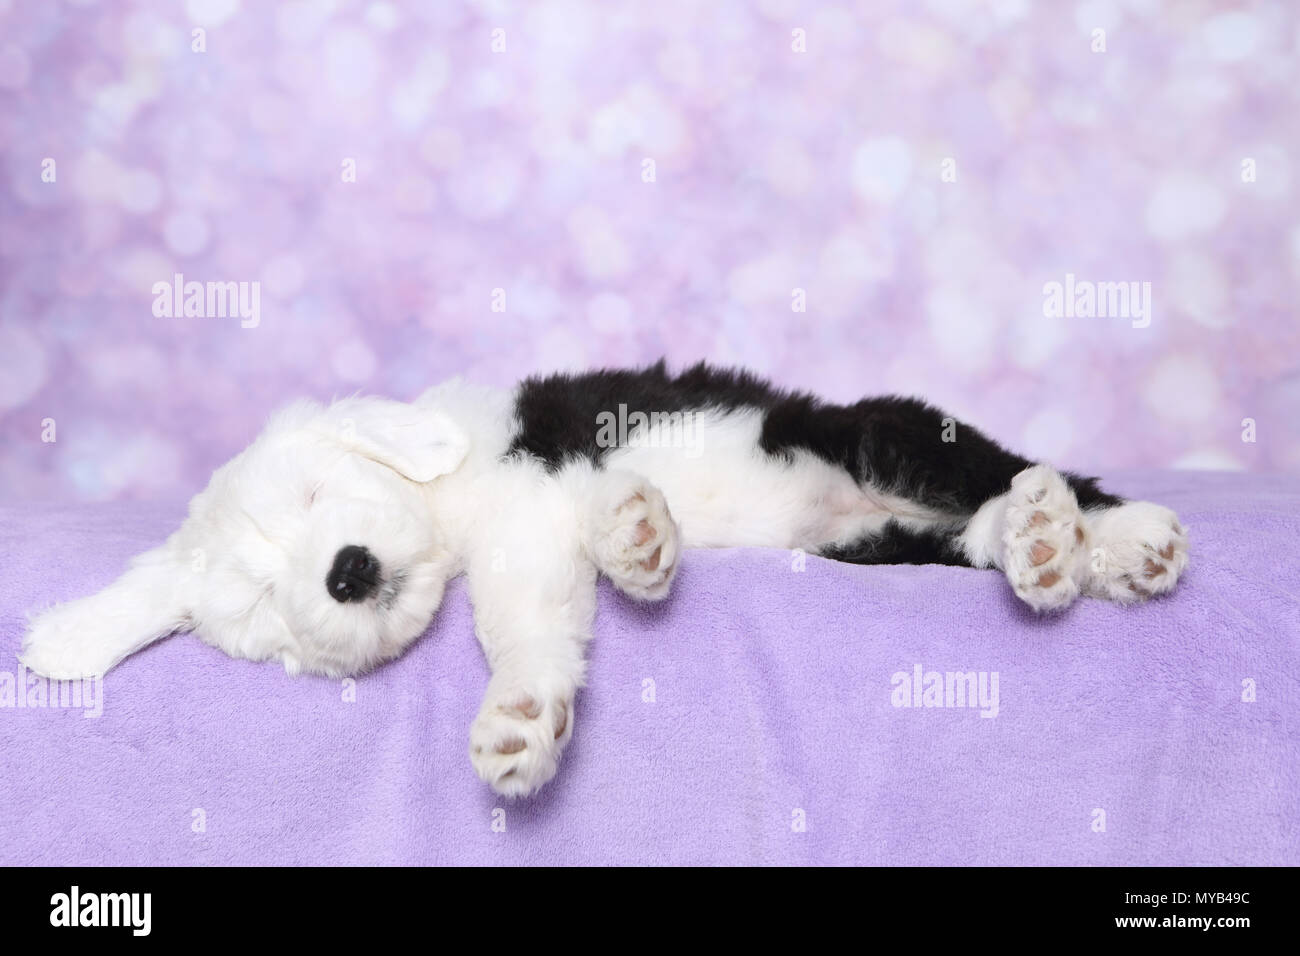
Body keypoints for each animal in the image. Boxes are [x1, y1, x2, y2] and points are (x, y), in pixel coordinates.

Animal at [17, 361, 1190, 796]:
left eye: (315, 497)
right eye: (260, 602)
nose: (346, 573)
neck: (446, 514)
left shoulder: (528, 485)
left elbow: (534, 582)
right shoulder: (528, 538)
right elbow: (535, 611)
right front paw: (530, 709)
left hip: (885, 435)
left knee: (1022, 476)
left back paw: (1115, 535)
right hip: (875, 547)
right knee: (977, 535)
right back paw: (1047, 549)